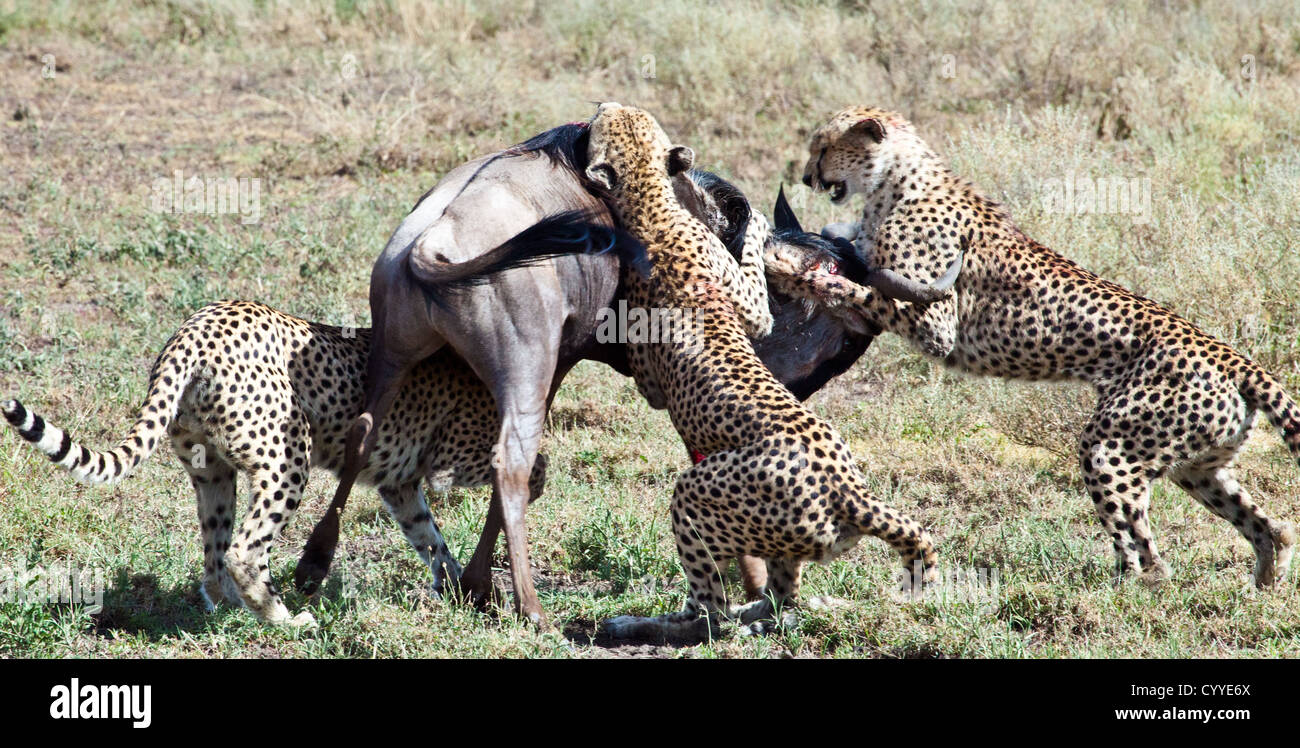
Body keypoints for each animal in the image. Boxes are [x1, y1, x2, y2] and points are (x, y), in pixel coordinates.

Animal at [0, 300, 543, 627]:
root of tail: (197, 325)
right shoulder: (447, 459)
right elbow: (515, 467)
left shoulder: (400, 482)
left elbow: (427, 534)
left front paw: (456, 588)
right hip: (287, 457)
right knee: (244, 549)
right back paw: (285, 620)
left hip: (212, 470)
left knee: (216, 556)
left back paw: (232, 613)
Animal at [559, 104, 935, 637]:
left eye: (621, 120)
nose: (600, 106)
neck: (653, 207)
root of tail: (852, 492)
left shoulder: (697, 343)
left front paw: (757, 229)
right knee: (779, 600)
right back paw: (760, 612)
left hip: (694, 492)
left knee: (709, 615)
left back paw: (640, 622)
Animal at [790, 105, 1300, 587]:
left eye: (823, 147)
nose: (806, 177)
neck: (895, 179)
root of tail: (1233, 356)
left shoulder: (935, 322)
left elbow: (864, 291)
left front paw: (808, 277)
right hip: (1197, 463)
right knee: (1271, 528)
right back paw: (1262, 585)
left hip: (1111, 445)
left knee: (1147, 558)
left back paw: (1119, 589)